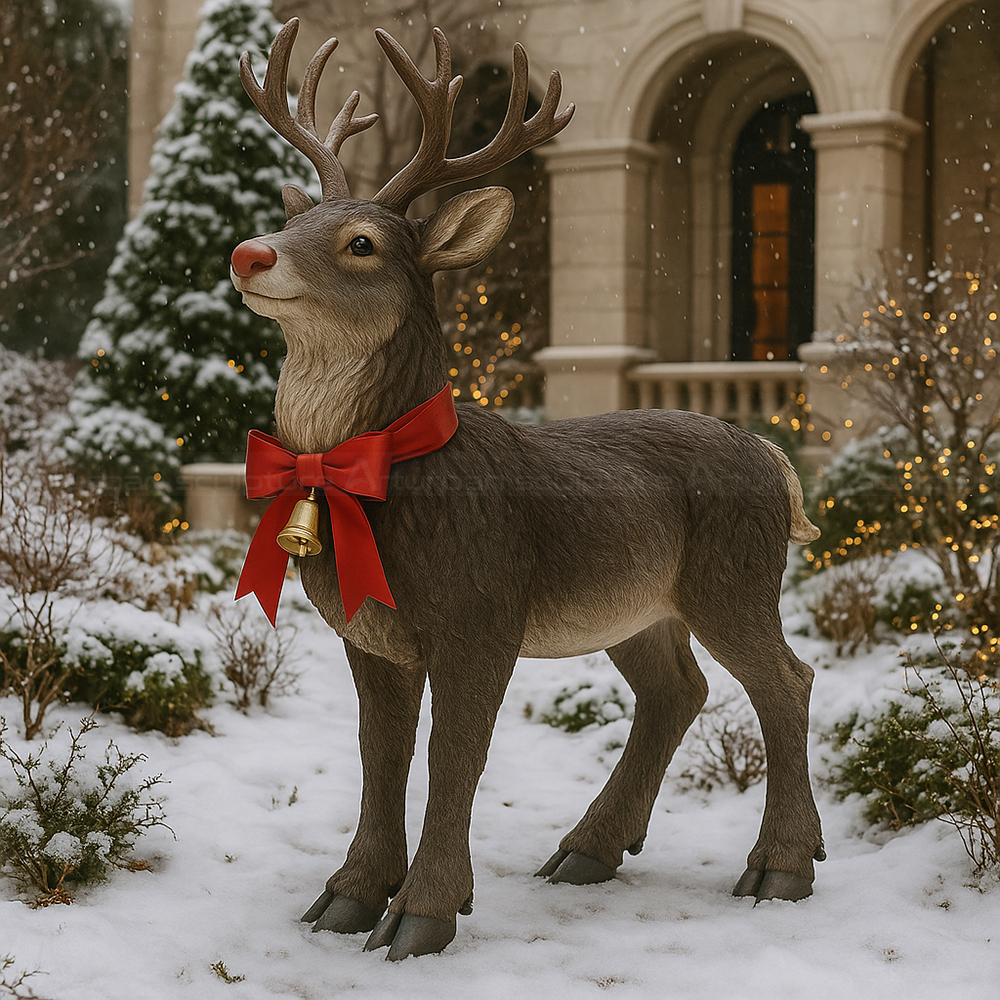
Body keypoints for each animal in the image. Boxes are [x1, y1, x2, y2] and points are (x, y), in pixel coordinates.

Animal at [229, 18, 826, 961]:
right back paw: (587, 850)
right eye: (296, 218)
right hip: (636, 603)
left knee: (787, 681)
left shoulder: (482, 612)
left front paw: (424, 915)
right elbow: (378, 752)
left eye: (362, 242)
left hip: (733, 575)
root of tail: (771, 455)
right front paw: (347, 896)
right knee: (678, 689)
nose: (249, 252)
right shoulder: (369, 632)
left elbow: (456, 754)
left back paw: (780, 868)